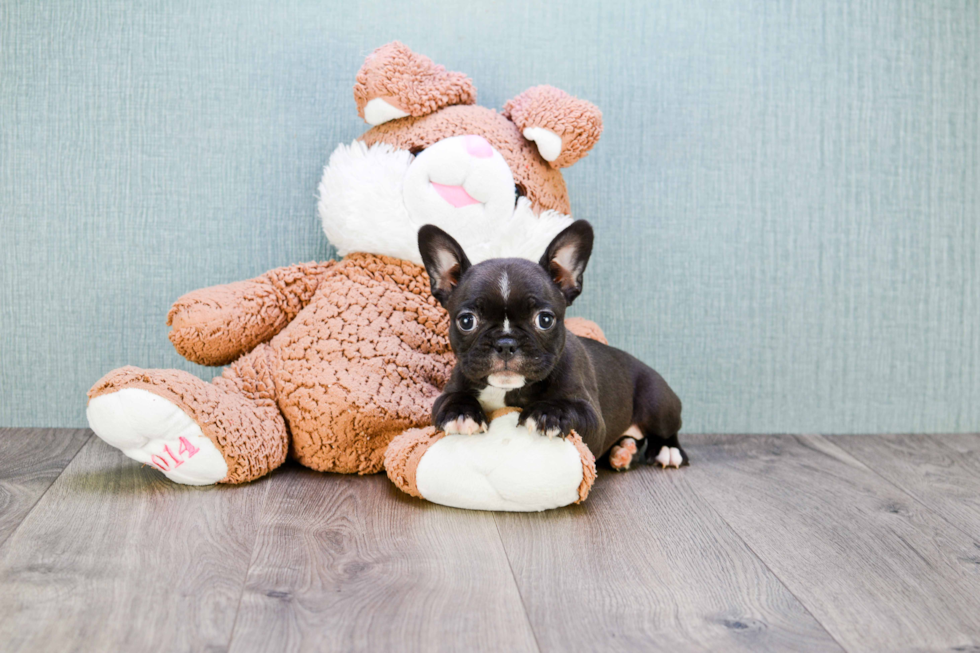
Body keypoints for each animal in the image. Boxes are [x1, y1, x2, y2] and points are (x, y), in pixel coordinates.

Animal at [418, 219, 684, 468]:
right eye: (467, 321)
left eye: (545, 319)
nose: (506, 343)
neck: (508, 390)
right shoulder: (447, 392)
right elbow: (451, 399)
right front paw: (461, 412)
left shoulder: (593, 419)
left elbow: (569, 408)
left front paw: (547, 413)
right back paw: (623, 451)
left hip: (657, 402)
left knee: (668, 430)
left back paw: (666, 450)